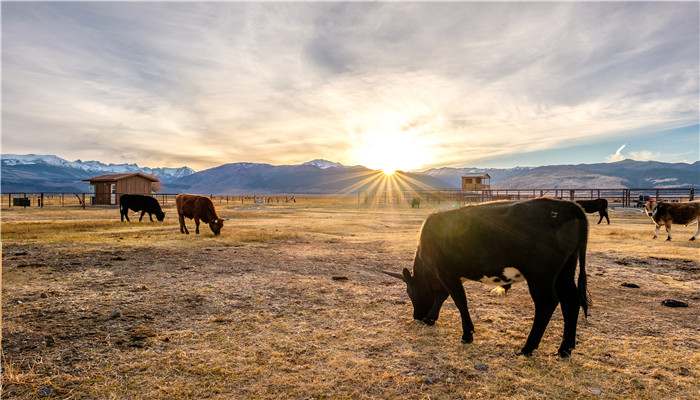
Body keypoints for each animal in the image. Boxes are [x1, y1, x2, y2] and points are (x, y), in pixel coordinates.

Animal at [382, 198, 592, 358]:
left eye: (410, 292)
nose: (416, 316)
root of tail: (567, 205)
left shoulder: (445, 271)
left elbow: (459, 300)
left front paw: (467, 334)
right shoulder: (449, 275)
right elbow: (443, 296)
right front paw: (430, 318)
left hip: (540, 275)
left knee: (547, 303)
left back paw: (528, 348)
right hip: (565, 271)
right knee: (570, 301)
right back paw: (565, 349)